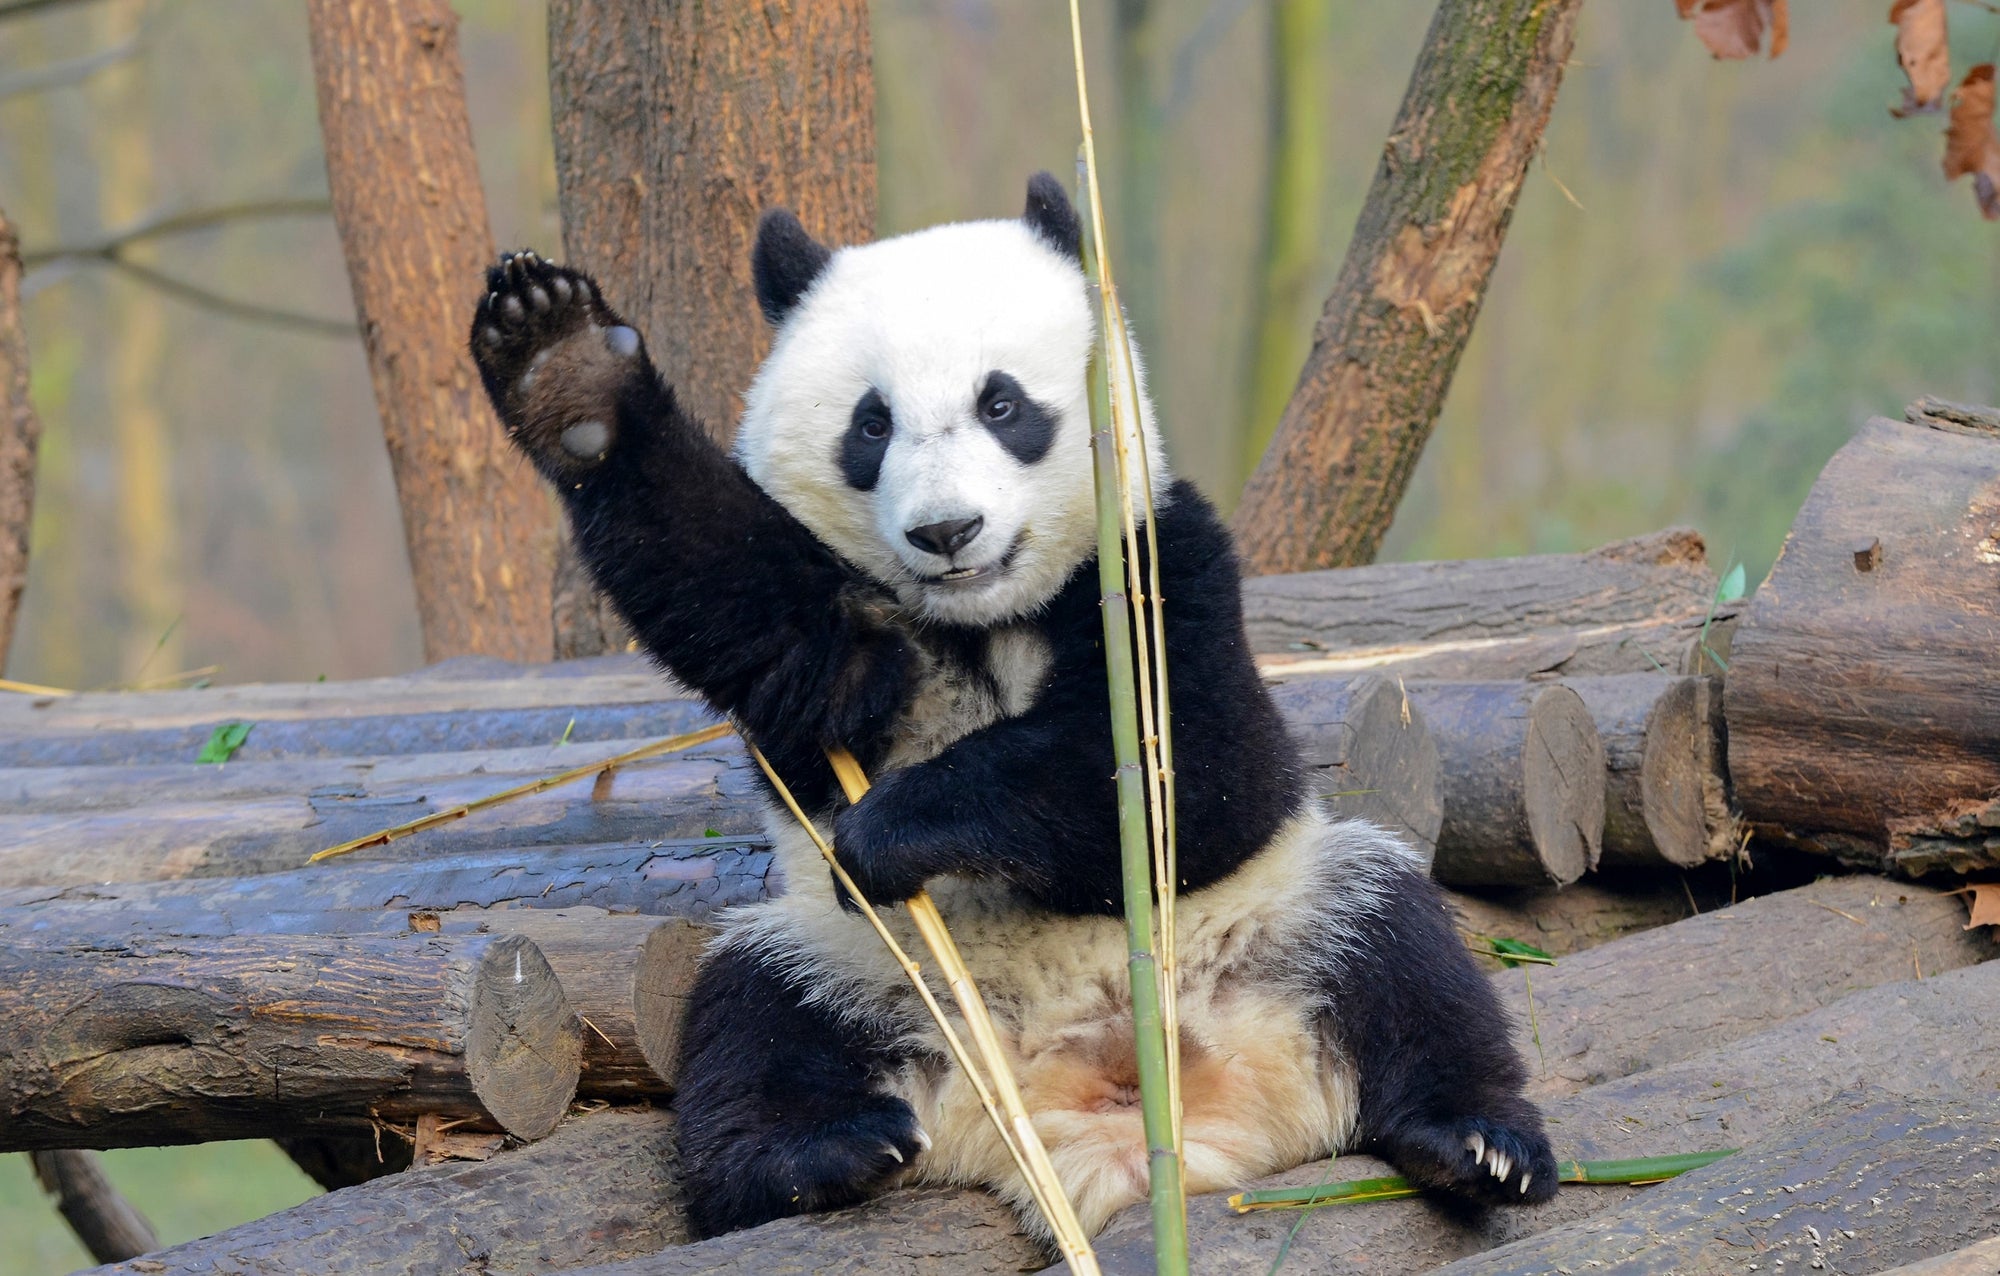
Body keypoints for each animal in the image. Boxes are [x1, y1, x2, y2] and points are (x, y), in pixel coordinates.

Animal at [472, 175, 1560, 1248]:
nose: (946, 530)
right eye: (870, 425)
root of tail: (1090, 1127)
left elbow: (1196, 777)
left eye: (1002, 404)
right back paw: (816, 1156)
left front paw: (893, 826)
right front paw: (565, 372)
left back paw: (1479, 1145)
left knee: (1403, 955)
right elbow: (736, 591)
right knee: (752, 1017)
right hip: (865, 966)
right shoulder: (845, 634)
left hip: (1281, 917)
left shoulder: (1160, 559)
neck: (982, 618)